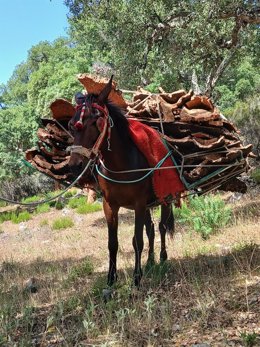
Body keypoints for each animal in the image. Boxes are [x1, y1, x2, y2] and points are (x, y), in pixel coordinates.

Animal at [68, 77, 179, 288]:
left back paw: (162, 257)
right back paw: (150, 261)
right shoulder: (109, 205)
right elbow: (113, 243)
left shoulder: (139, 204)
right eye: (71, 124)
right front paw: (111, 279)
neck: (121, 166)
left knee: (161, 227)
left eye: (96, 120)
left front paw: (136, 277)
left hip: (163, 199)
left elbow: (137, 240)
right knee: (151, 230)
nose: (75, 165)